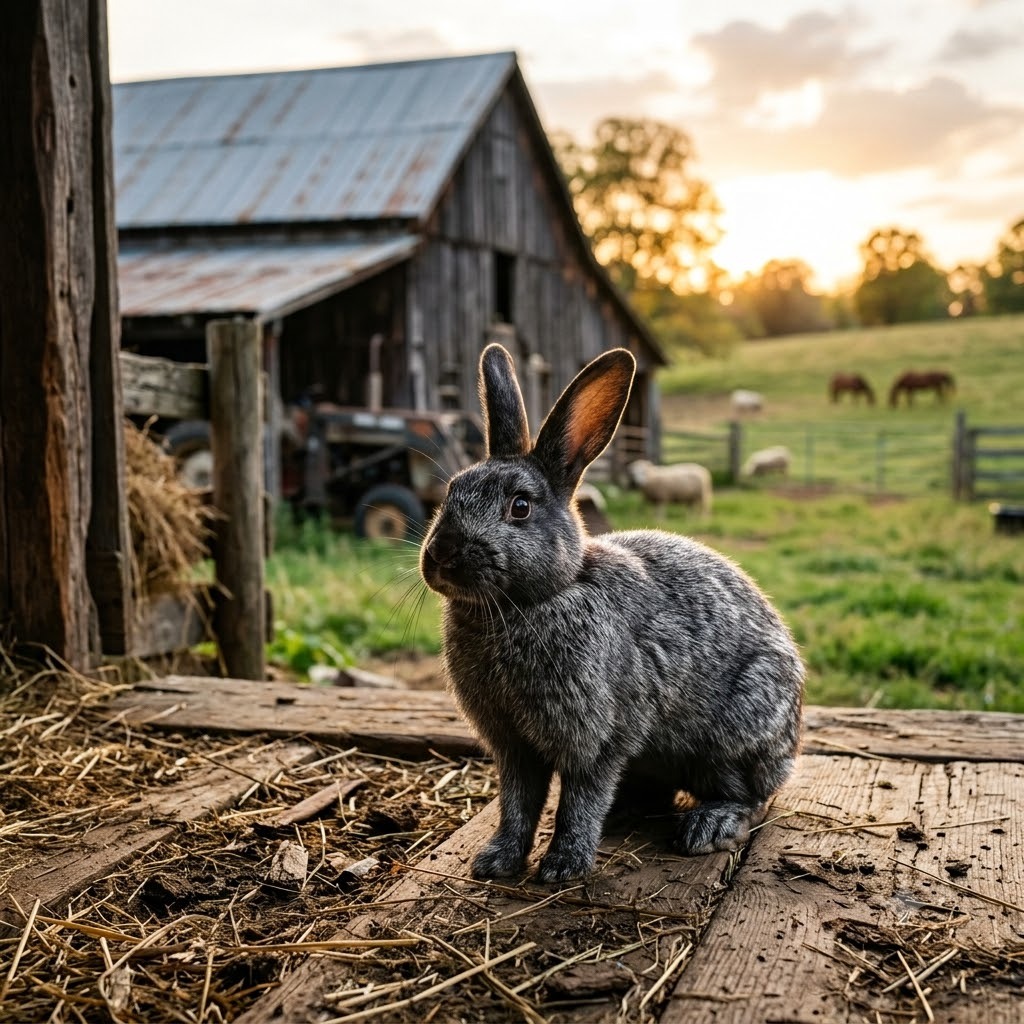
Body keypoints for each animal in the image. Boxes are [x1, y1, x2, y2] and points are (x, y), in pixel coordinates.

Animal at [420, 344, 804, 883]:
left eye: (520, 507)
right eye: (451, 492)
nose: (441, 555)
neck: (534, 600)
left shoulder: (598, 738)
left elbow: (580, 799)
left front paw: (563, 866)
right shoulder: (514, 748)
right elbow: (518, 803)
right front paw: (497, 861)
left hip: (733, 737)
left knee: (749, 795)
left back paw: (706, 827)